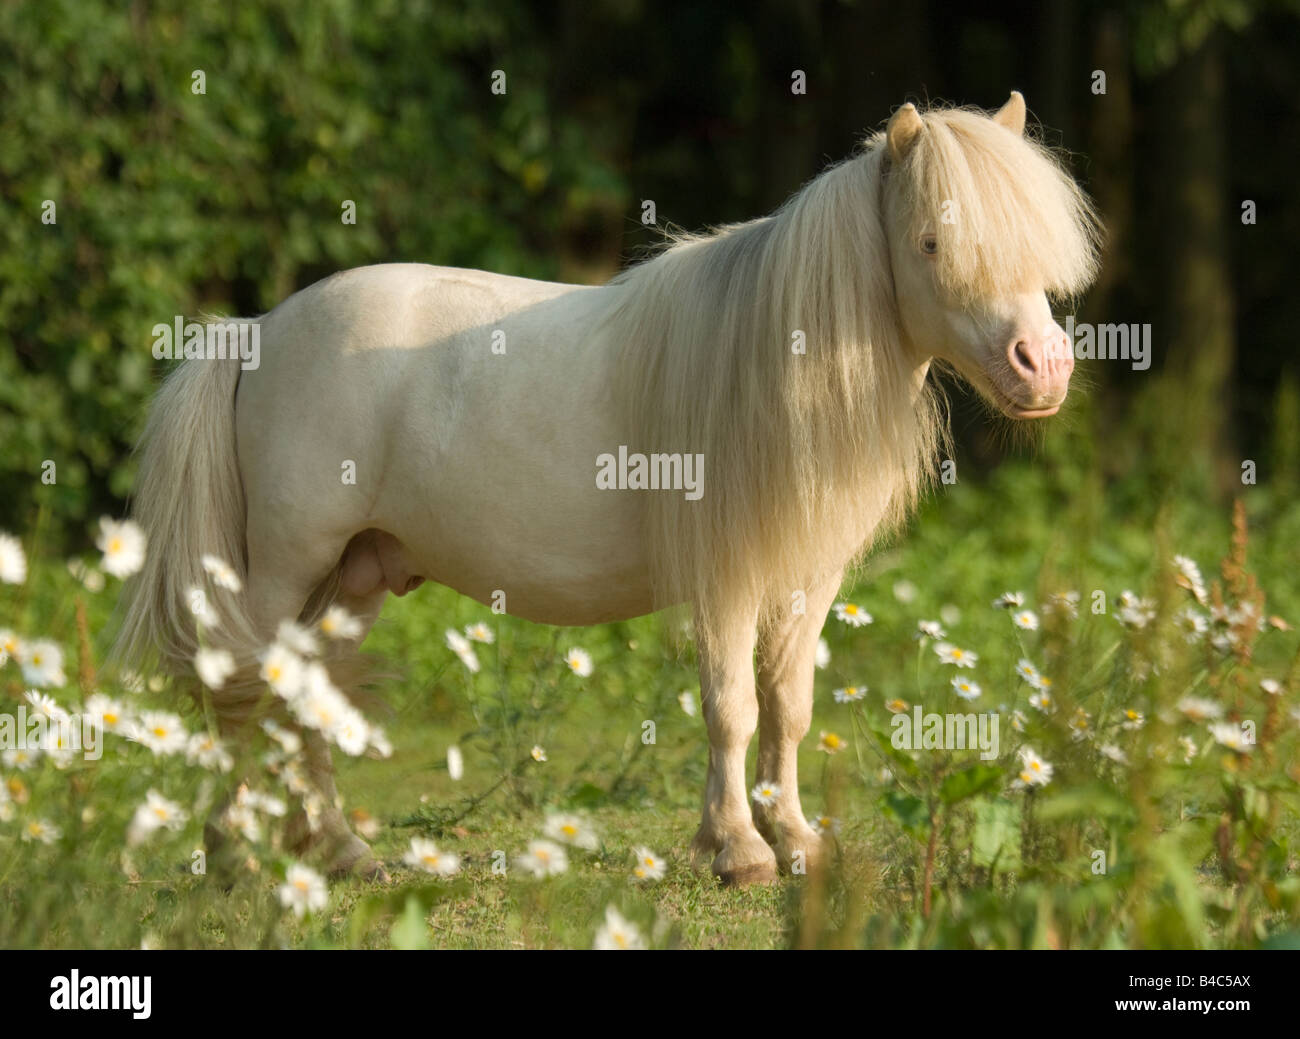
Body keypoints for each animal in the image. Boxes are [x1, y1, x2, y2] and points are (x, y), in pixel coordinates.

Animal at [115, 92, 1100, 886]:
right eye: (933, 241)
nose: (1044, 367)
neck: (774, 363)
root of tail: (257, 331)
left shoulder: (803, 578)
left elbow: (788, 707)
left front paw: (795, 841)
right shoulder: (726, 579)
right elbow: (732, 707)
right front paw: (738, 850)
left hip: (351, 577)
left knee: (301, 697)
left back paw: (341, 852)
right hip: (287, 567)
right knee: (241, 690)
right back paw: (233, 856)